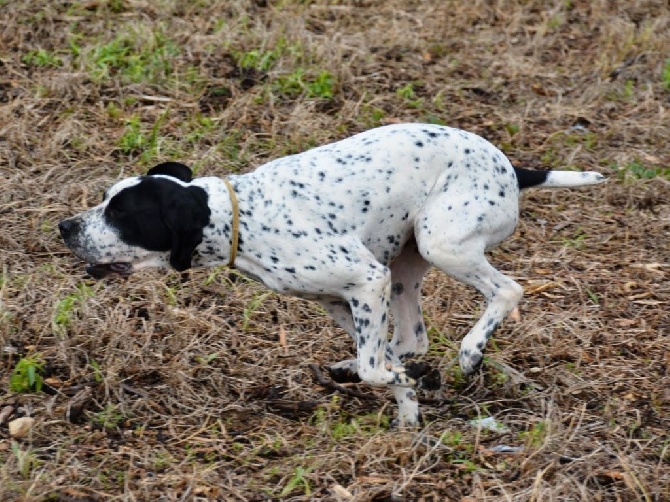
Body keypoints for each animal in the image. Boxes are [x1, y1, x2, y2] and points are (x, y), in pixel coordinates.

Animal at [59, 123, 608, 426]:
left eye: (121, 214)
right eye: (105, 201)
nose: (64, 227)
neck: (243, 216)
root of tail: (512, 167)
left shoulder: (366, 280)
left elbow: (376, 367)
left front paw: (403, 384)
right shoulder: (340, 298)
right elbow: (380, 360)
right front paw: (406, 408)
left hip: (441, 244)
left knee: (507, 291)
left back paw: (471, 350)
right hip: (406, 264)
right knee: (411, 339)